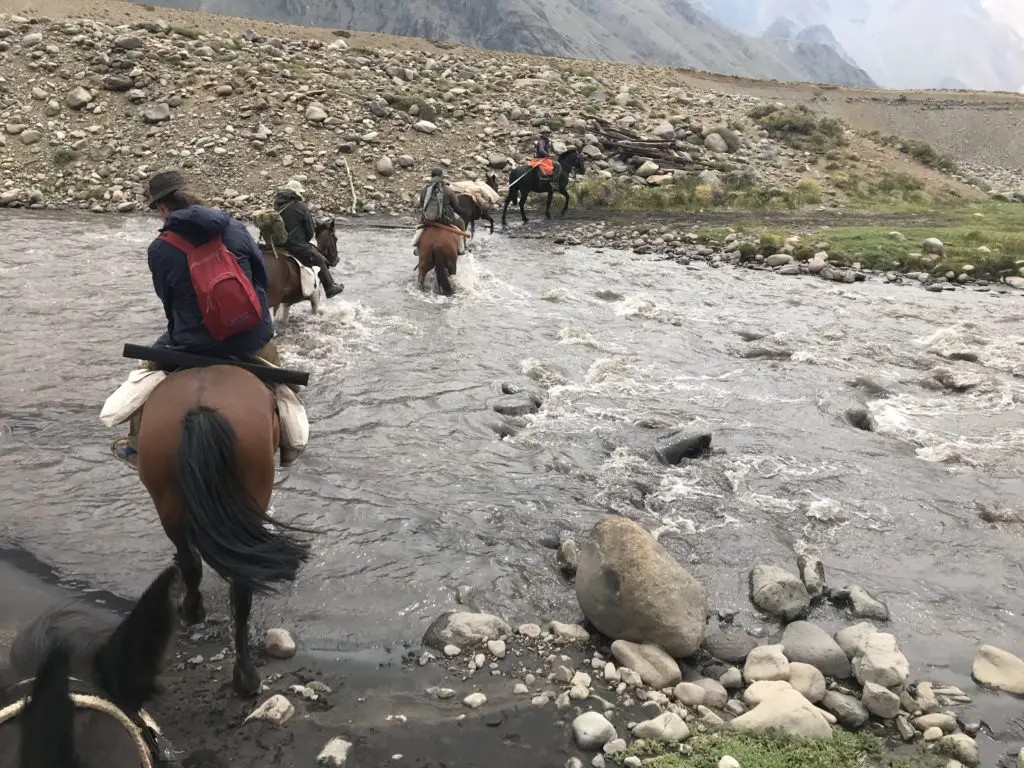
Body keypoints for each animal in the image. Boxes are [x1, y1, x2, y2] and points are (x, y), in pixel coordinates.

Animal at [136, 364, 311, 696]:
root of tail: (200, 409)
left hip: (167, 500)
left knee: (191, 561)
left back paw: (194, 613)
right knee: (237, 586)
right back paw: (245, 676)